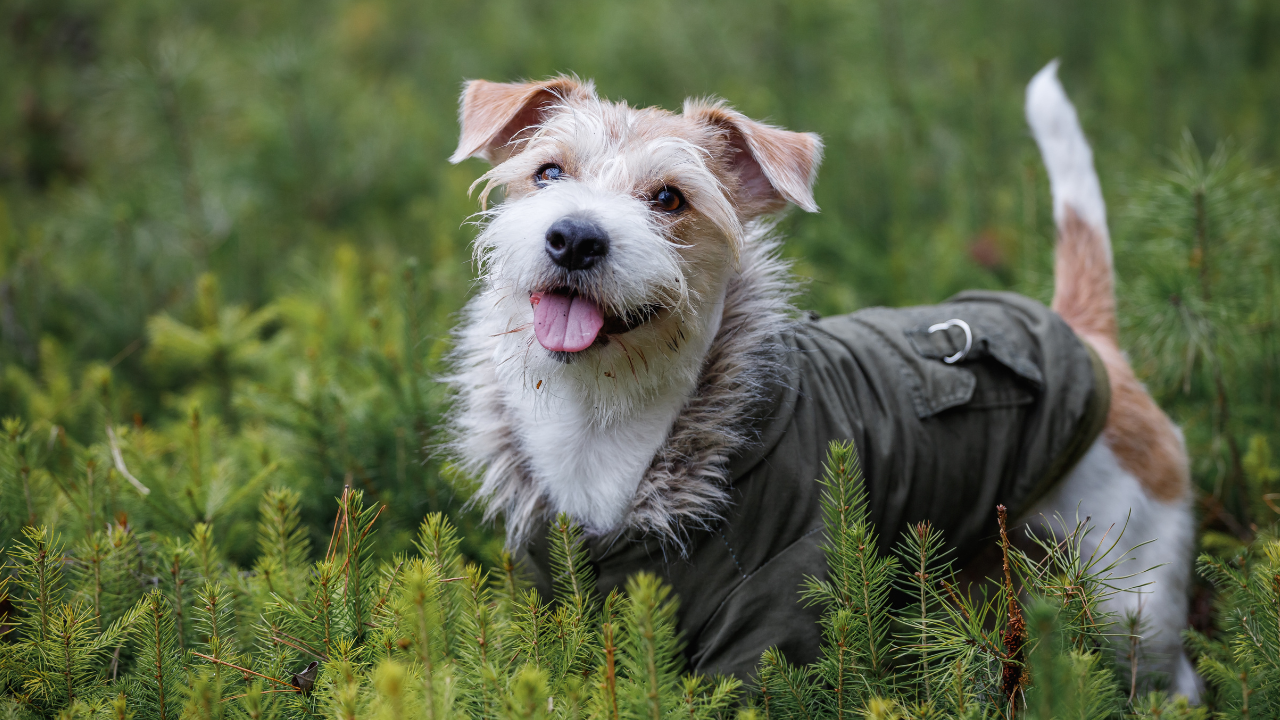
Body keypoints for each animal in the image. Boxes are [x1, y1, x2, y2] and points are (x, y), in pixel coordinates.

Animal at [442, 63, 1198, 696]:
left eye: (669, 198)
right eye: (548, 172)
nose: (574, 238)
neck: (606, 413)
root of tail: (1087, 334)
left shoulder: (770, 627)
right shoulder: (563, 602)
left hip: (1134, 591)